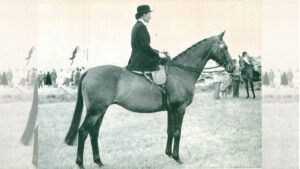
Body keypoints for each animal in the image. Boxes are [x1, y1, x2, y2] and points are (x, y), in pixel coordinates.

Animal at [64, 31, 236, 168]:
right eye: (225, 48)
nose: (233, 67)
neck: (180, 72)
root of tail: (89, 71)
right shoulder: (180, 108)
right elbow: (177, 132)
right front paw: (178, 158)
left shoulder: (171, 110)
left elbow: (170, 131)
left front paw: (169, 154)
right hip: (95, 111)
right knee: (83, 132)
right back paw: (80, 163)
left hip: (101, 111)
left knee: (94, 133)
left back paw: (99, 162)